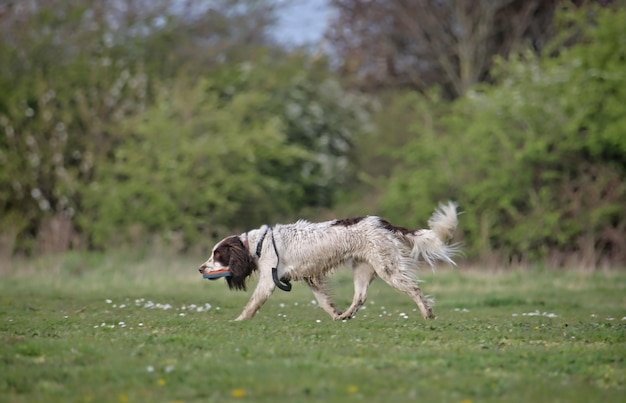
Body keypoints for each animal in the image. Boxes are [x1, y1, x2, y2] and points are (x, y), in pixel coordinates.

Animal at [199, 202, 458, 322]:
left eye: (216, 255)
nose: (200, 268)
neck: (257, 244)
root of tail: (383, 222)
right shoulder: (311, 278)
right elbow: (324, 302)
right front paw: (335, 314)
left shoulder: (268, 280)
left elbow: (252, 303)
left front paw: (238, 320)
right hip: (363, 268)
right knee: (360, 296)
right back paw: (345, 316)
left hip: (388, 268)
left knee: (414, 289)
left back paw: (427, 313)